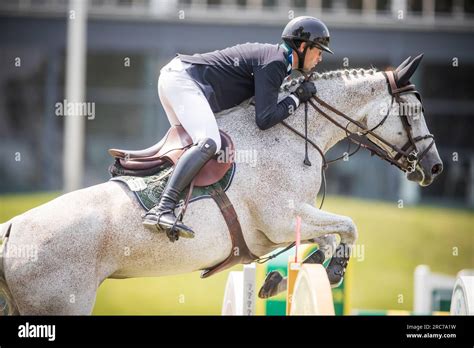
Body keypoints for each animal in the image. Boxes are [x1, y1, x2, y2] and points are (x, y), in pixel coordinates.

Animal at [1, 55, 442, 316]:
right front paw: (330, 271)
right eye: (414, 110)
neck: (293, 132)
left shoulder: (287, 224)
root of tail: (11, 232)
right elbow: (348, 227)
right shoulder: (281, 218)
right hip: (61, 305)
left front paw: (282, 280)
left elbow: (330, 238)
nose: (435, 167)